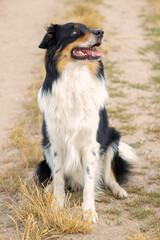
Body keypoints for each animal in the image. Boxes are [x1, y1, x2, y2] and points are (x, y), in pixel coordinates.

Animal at [36, 23, 138, 223]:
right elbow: (58, 178)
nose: (100, 32)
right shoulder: (55, 143)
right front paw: (57, 206)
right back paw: (48, 189)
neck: (75, 77)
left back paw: (118, 190)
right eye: (75, 31)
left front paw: (89, 212)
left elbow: (89, 183)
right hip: (45, 145)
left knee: (109, 175)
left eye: (89, 28)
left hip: (112, 138)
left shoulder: (92, 144)